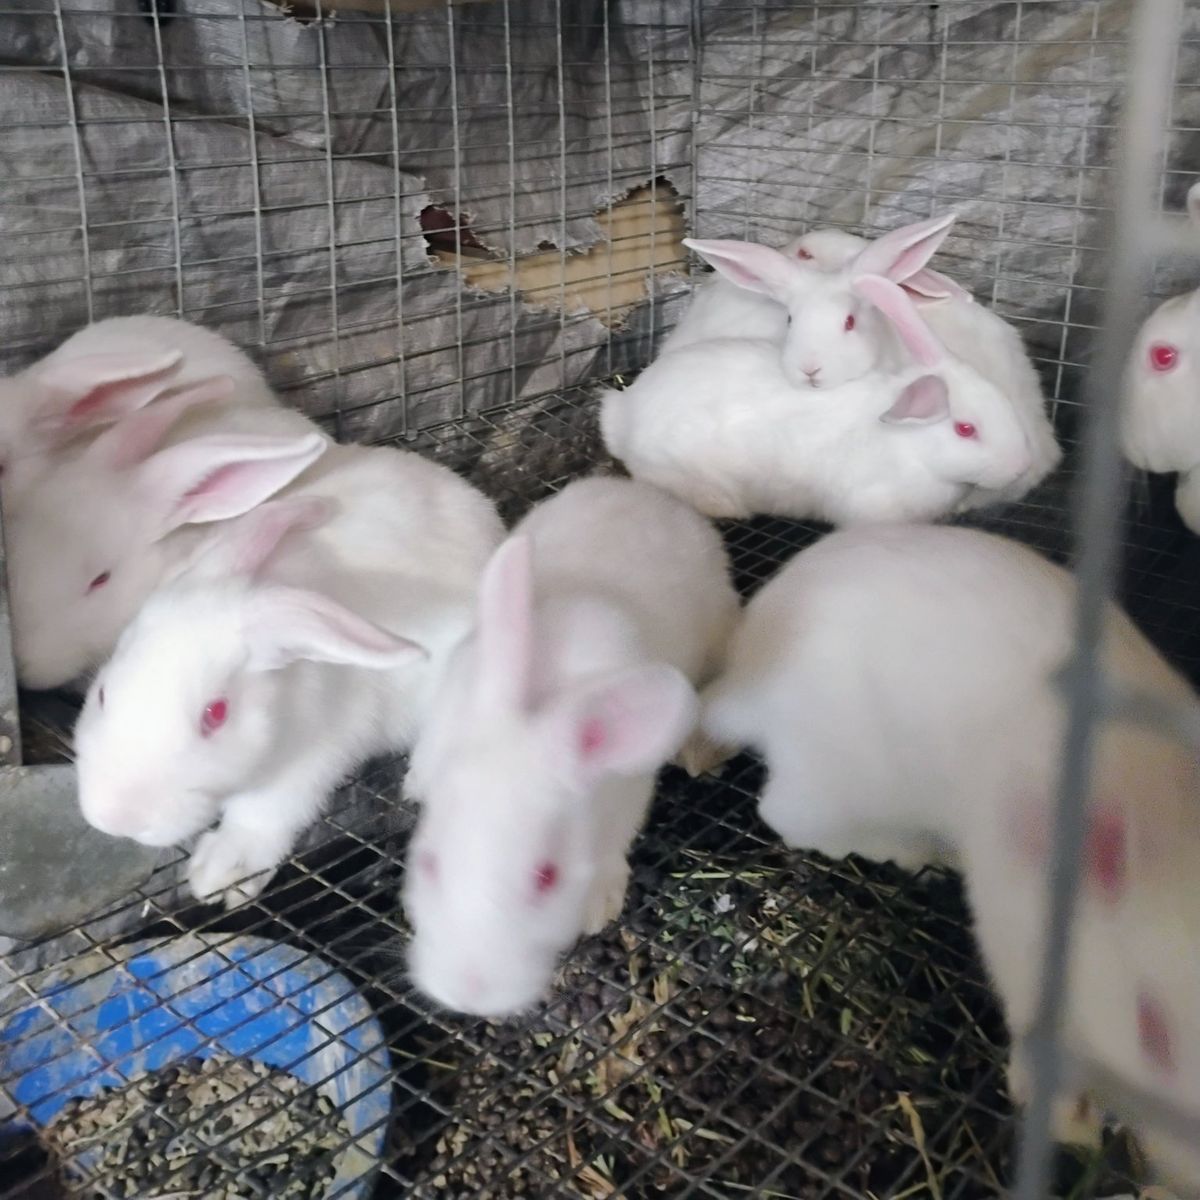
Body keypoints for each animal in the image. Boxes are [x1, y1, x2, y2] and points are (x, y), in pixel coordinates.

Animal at [73, 443, 506, 907]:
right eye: (102, 693)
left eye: (216, 714)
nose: (115, 818)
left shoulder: (315, 753)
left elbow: (265, 812)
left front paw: (224, 872)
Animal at [401, 476, 739, 1018]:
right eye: (430, 863)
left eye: (547, 877)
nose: (469, 993)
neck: (540, 706)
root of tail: (643, 491)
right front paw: (416, 781)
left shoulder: (627, 796)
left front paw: (598, 904)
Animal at [702, 521, 1200, 1183]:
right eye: (1151, 1032)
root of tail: (749, 669)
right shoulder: (1016, 937)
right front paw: (1063, 1113)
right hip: (842, 782)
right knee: (784, 814)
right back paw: (915, 852)